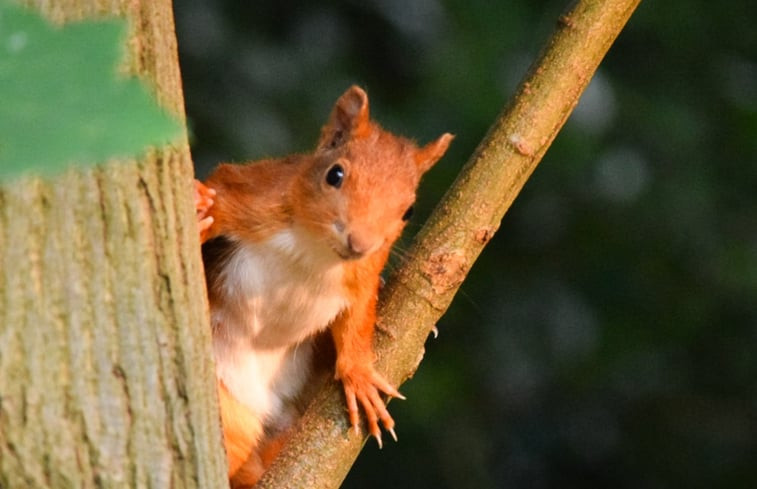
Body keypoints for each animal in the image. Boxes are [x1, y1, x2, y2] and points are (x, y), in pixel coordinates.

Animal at [195, 86, 452, 486]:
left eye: (408, 211)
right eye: (335, 174)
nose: (359, 243)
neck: (317, 252)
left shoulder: (362, 278)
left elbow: (358, 322)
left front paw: (359, 375)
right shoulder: (256, 194)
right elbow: (220, 193)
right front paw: (198, 205)